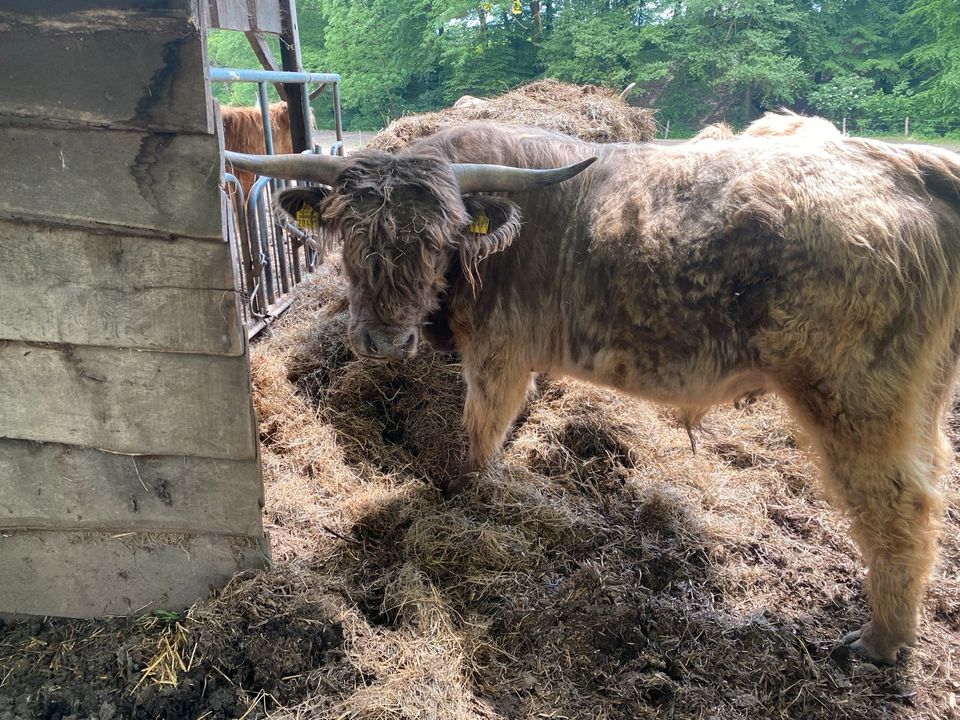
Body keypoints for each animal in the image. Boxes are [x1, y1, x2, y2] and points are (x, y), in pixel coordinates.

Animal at [227, 121, 960, 668]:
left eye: (435, 241)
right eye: (349, 236)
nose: (382, 339)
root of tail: (909, 162)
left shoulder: (500, 355)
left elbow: (477, 438)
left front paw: (459, 498)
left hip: (856, 395)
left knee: (898, 504)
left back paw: (879, 640)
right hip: (919, 396)